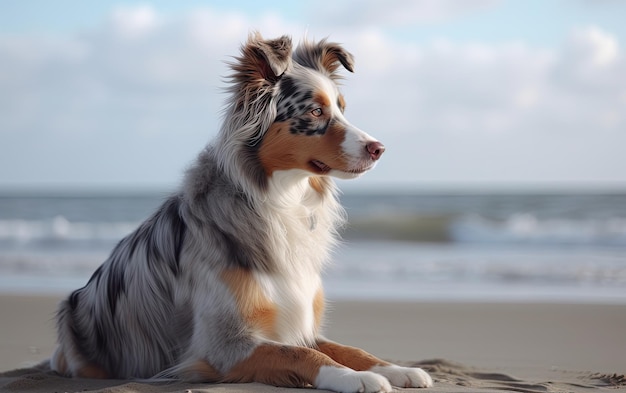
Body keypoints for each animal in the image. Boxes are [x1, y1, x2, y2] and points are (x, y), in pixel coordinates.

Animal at [50, 33, 428, 392]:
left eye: (342, 109)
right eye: (315, 112)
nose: (379, 149)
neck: (284, 200)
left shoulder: (297, 324)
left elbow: (349, 349)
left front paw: (396, 370)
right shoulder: (223, 345)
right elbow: (303, 354)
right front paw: (354, 378)